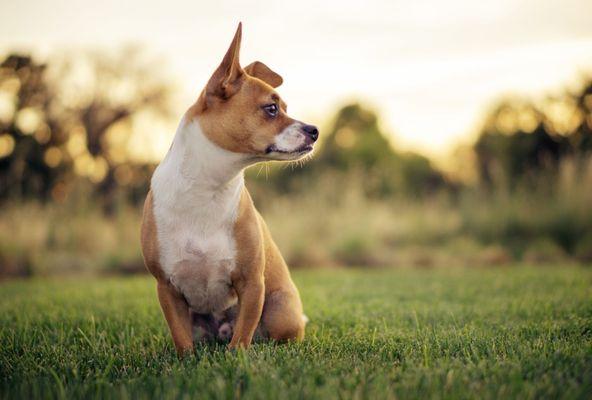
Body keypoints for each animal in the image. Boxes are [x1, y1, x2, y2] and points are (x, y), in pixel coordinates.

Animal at [140, 22, 320, 354]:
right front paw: (186, 361)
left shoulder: (252, 283)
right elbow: (182, 340)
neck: (207, 187)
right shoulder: (167, 288)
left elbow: (243, 334)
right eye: (272, 109)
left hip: (282, 313)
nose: (315, 130)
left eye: (284, 107)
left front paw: (238, 357)